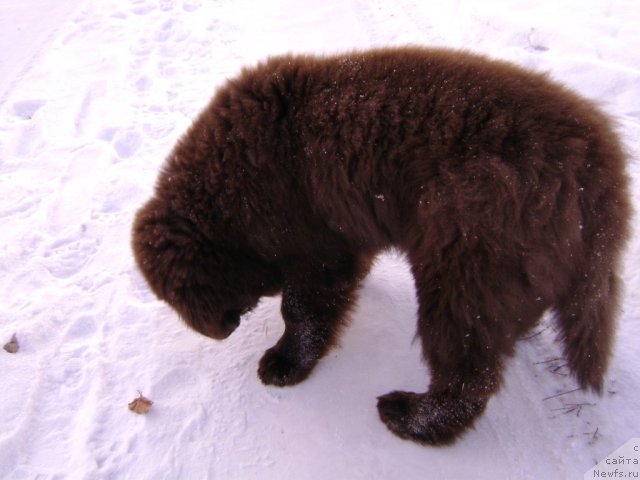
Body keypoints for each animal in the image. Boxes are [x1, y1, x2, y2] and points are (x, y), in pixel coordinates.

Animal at [131, 47, 632, 444]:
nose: (221, 330)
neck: (225, 183)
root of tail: (601, 173)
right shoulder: (345, 227)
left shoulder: (309, 235)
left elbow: (304, 308)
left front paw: (284, 363)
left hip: (470, 250)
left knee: (468, 366)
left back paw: (411, 416)